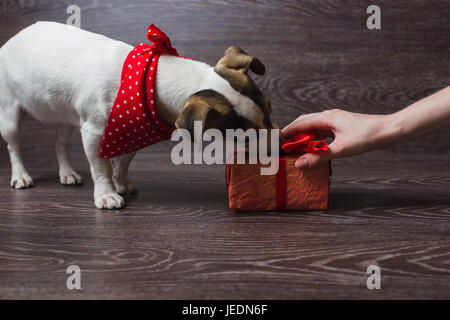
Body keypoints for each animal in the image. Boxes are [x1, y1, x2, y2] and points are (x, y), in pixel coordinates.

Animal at [0, 21, 274, 209]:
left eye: (270, 111)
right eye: (244, 138)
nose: (277, 146)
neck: (150, 79)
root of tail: (14, 37)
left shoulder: (132, 132)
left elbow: (122, 163)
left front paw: (120, 184)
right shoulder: (94, 133)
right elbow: (101, 167)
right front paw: (107, 194)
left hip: (64, 113)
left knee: (60, 143)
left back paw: (66, 172)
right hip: (9, 115)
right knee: (14, 147)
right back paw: (21, 175)